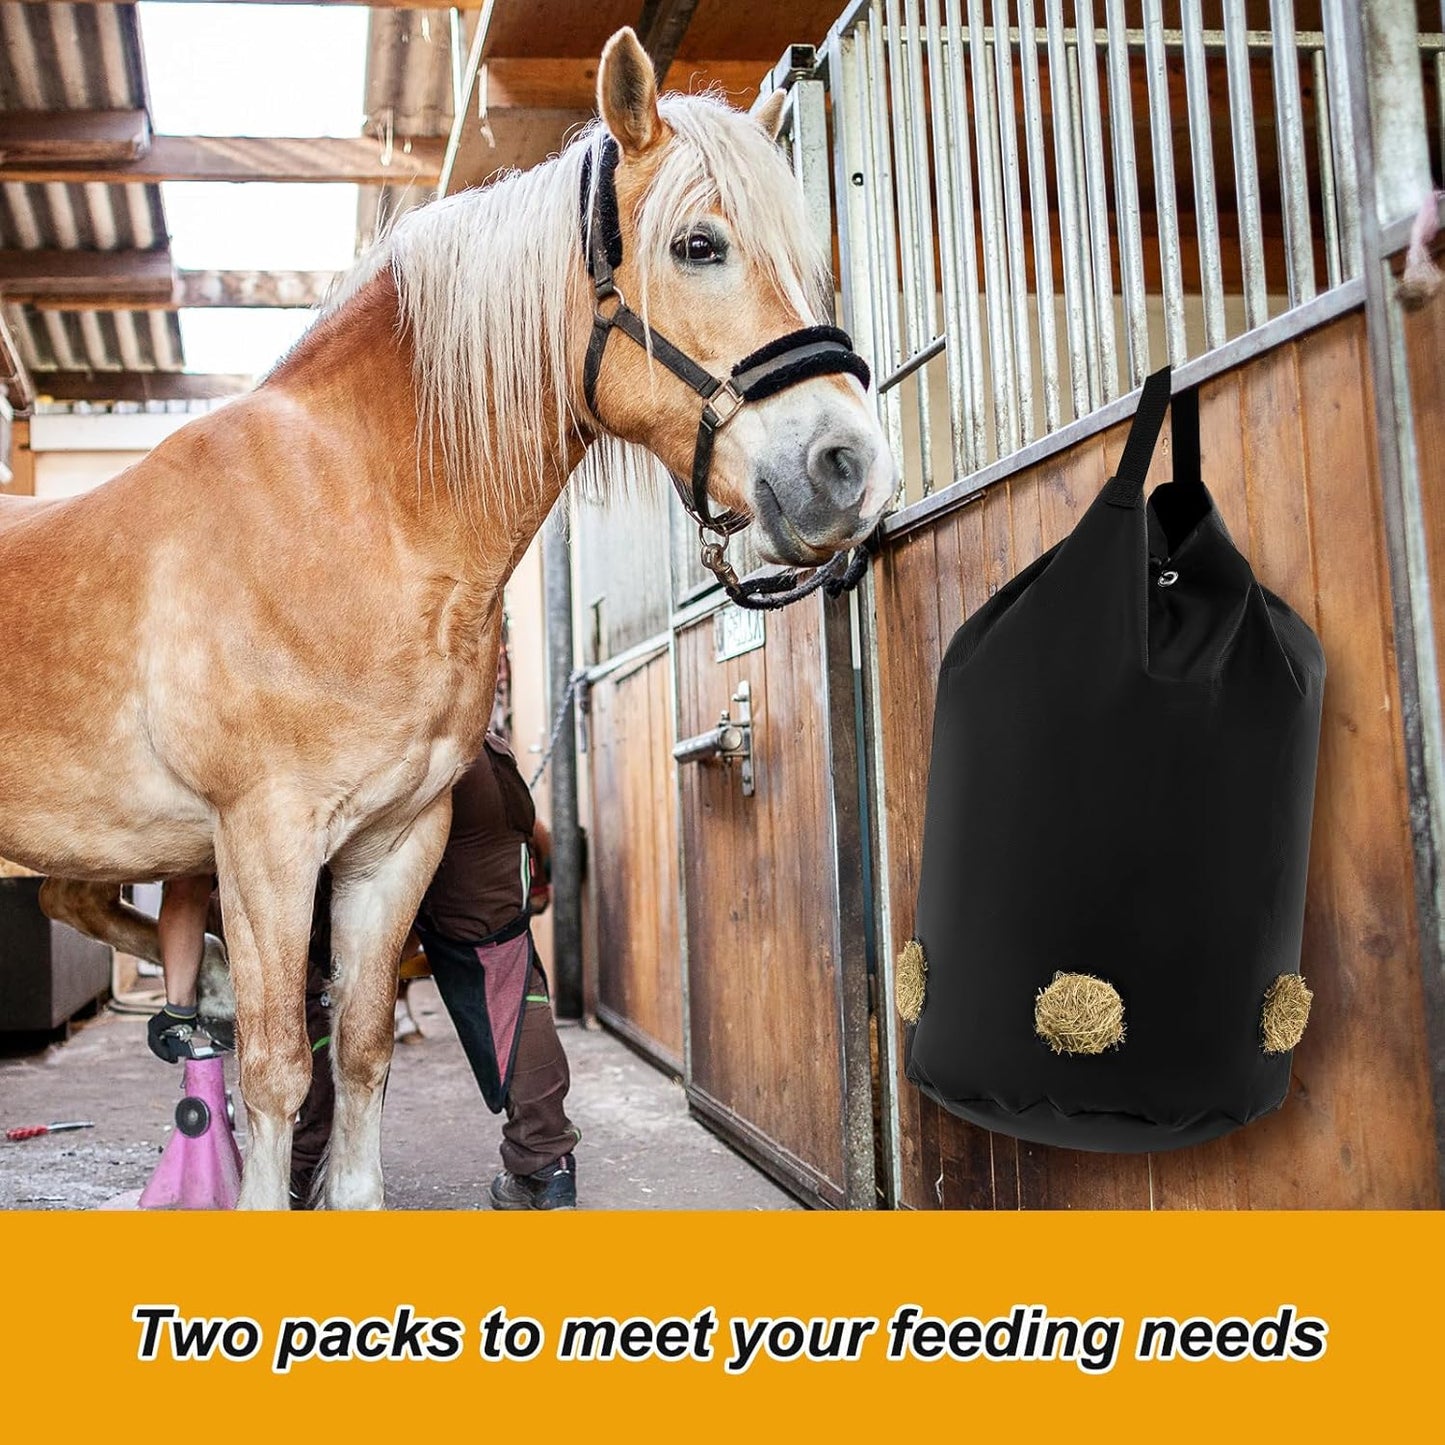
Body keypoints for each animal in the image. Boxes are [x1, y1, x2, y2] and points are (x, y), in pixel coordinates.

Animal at [0, 28, 896, 1210]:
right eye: (698, 245)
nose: (851, 467)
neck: (348, 512)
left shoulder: (393, 844)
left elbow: (362, 1042)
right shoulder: (265, 841)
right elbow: (277, 1066)